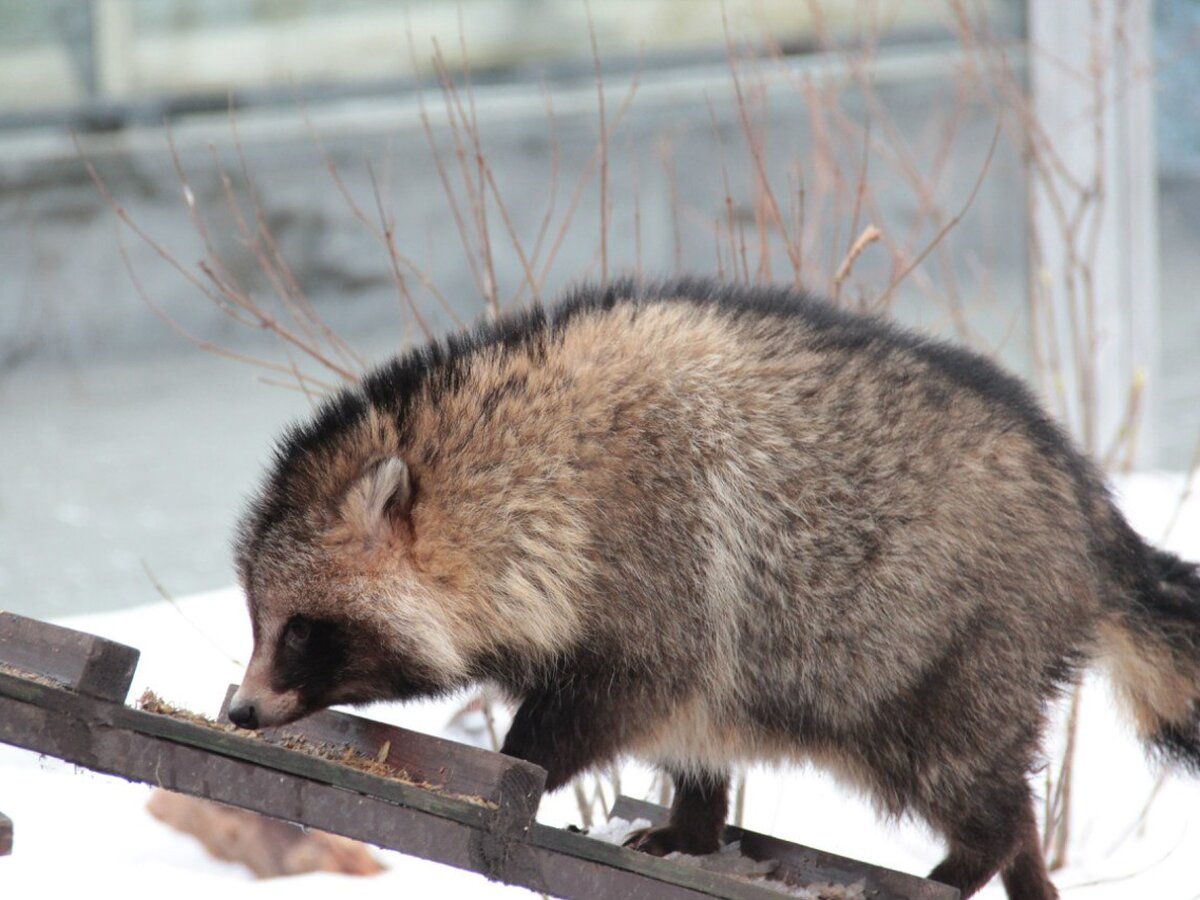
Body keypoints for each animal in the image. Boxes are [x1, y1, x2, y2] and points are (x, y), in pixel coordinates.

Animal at [229, 278, 1200, 897]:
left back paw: (976, 856)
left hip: (952, 652)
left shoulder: (665, 564)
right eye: (260, 622)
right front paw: (695, 824)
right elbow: (689, 728)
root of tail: (1089, 507)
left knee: (959, 769)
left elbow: (620, 700)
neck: (530, 475)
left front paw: (517, 763)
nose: (239, 709)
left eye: (299, 629)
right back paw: (1028, 865)